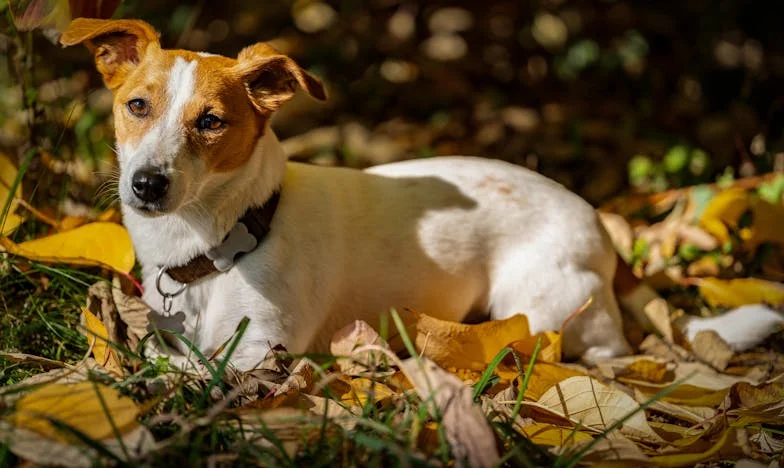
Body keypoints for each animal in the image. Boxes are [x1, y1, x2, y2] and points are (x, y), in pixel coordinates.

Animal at [62, 18, 784, 372]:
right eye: (136, 106)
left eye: (211, 122)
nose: (147, 184)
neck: (226, 237)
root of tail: (599, 224)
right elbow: (158, 354)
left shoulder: (260, 353)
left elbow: (185, 373)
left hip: (539, 306)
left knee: (609, 349)